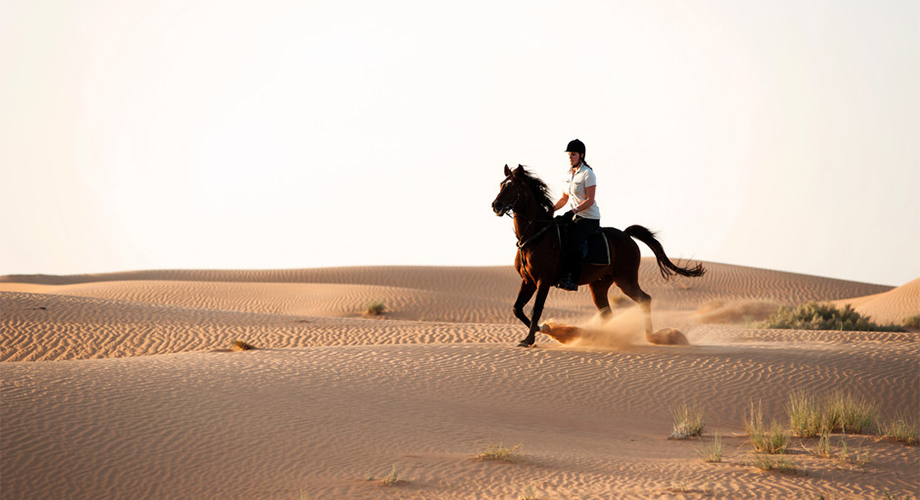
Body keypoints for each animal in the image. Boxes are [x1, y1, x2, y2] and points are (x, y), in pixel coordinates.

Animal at [492, 164, 708, 348]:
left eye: (513, 186)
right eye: (502, 184)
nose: (496, 205)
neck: (536, 236)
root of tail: (627, 235)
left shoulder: (543, 281)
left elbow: (536, 309)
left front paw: (531, 338)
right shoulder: (528, 281)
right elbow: (517, 309)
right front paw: (545, 329)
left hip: (625, 279)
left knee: (645, 299)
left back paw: (651, 337)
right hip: (599, 285)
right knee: (607, 313)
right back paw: (606, 338)